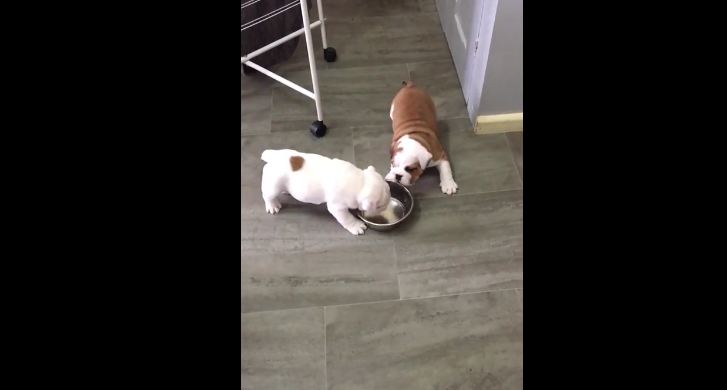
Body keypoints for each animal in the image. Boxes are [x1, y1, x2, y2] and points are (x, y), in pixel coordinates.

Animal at [262, 149, 392, 235]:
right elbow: (346, 218)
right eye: (380, 206)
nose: (385, 208)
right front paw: (356, 225)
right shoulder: (337, 207)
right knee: (268, 195)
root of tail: (273, 157)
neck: (360, 182)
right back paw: (272, 206)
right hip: (273, 185)